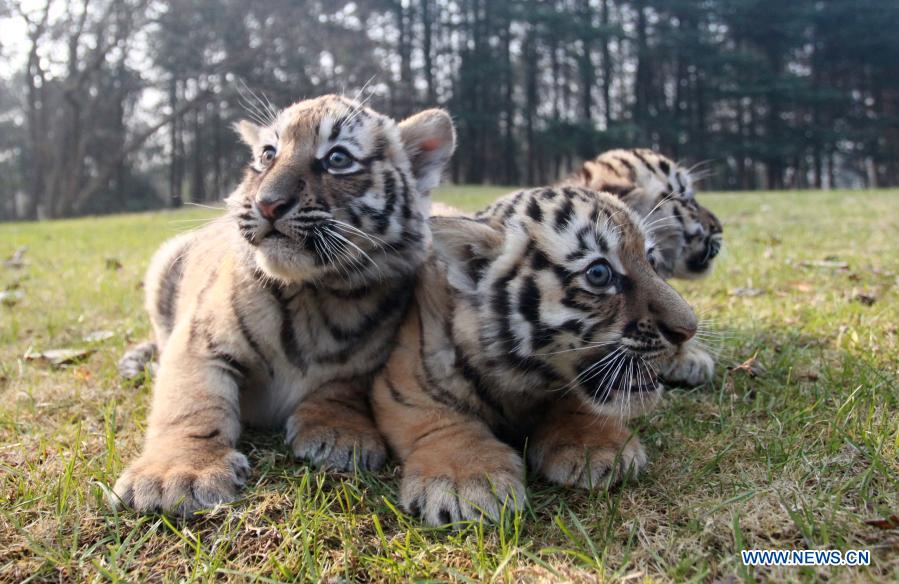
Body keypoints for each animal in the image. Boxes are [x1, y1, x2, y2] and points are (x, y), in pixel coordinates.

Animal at [112, 93, 458, 512]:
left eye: (338, 158)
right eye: (267, 154)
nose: (268, 204)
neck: (315, 294)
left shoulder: (366, 361)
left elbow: (340, 389)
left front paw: (339, 434)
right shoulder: (199, 340)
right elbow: (191, 402)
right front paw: (177, 474)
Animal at [370, 186, 700, 524]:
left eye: (651, 260)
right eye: (599, 273)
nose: (688, 329)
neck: (524, 378)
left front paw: (597, 445)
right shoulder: (401, 384)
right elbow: (442, 422)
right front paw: (467, 479)